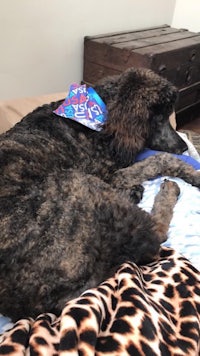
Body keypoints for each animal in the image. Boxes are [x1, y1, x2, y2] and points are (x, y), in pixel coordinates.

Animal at [0, 67, 199, 320]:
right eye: (158, 117)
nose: (183, 147)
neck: (101, 112)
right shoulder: (111, 176)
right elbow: (160, 159)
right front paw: (192, 173)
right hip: (77, 184)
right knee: (156, 233)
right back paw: (165, 191)